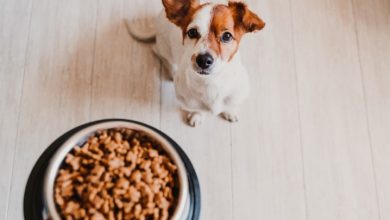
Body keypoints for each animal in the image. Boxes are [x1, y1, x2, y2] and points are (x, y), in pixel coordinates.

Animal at [128, 0, 266, 126]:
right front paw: (197, 115)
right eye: (192, 32)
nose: (203, 60)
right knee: (159, 53)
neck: (211, 82)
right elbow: (198, 109)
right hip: (164, 48)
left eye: (227, 36)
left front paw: (229, 111)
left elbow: (230, 105)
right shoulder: (189, 101)